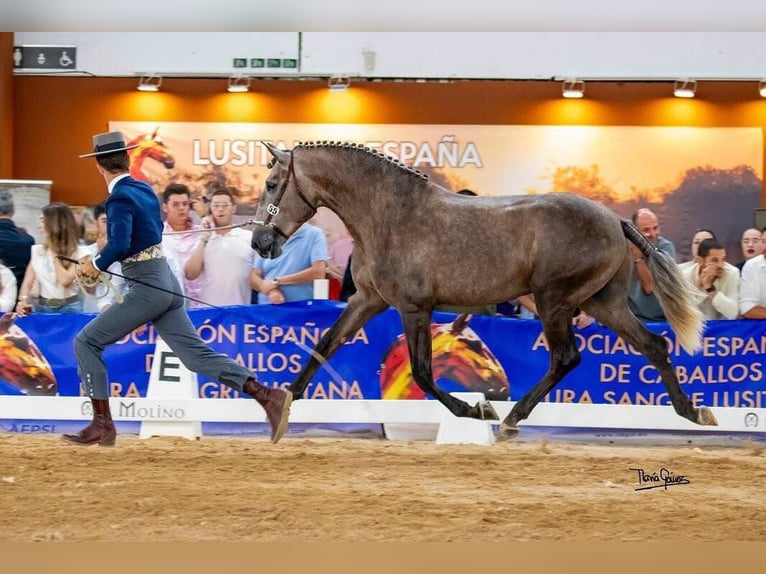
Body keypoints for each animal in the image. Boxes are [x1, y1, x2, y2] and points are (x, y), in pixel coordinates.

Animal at [254, 142, 720, 444]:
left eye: (273, 184)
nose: (260, 243)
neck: (388, 215)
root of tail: (616, 221)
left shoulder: (414, 307)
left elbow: (423, 372)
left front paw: (477, 410)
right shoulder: (368, 300)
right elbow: (326, 343)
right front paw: (282, 408)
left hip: (554, 302)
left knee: (566, 358)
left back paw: (511, 419)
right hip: (601, 303)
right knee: (654, 345)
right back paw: (693, 411)